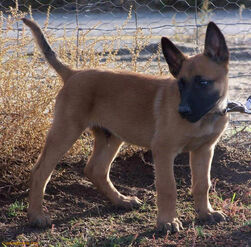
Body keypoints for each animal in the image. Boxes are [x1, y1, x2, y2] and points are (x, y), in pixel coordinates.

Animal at [22, 18, 229, 233]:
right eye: (181, 84)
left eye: (203, 83)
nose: (183, 111)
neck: (206, 117)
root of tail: (73, 73)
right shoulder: (163, 150)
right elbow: (167, 187)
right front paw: (167, 221)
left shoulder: (204, 150)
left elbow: (202, 184)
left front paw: (206, 213)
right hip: (65, 132)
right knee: (40, 172)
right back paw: (36, 216)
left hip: (111, 137)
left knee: (96, 170)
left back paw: (121, 200)